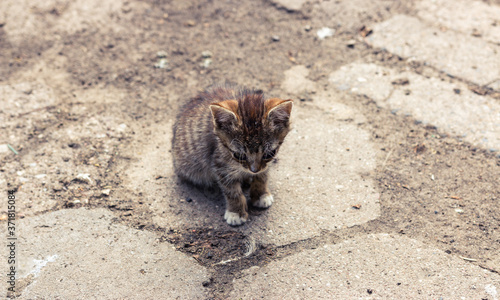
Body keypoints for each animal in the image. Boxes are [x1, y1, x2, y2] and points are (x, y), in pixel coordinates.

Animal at [172, 84, 292, 225]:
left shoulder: (266, 163)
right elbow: (232, 191)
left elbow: (263, 176)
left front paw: (261, 194)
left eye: (269, 154)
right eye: (239, 155)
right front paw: (236, 212)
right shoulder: (220, 165)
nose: (254, 170)